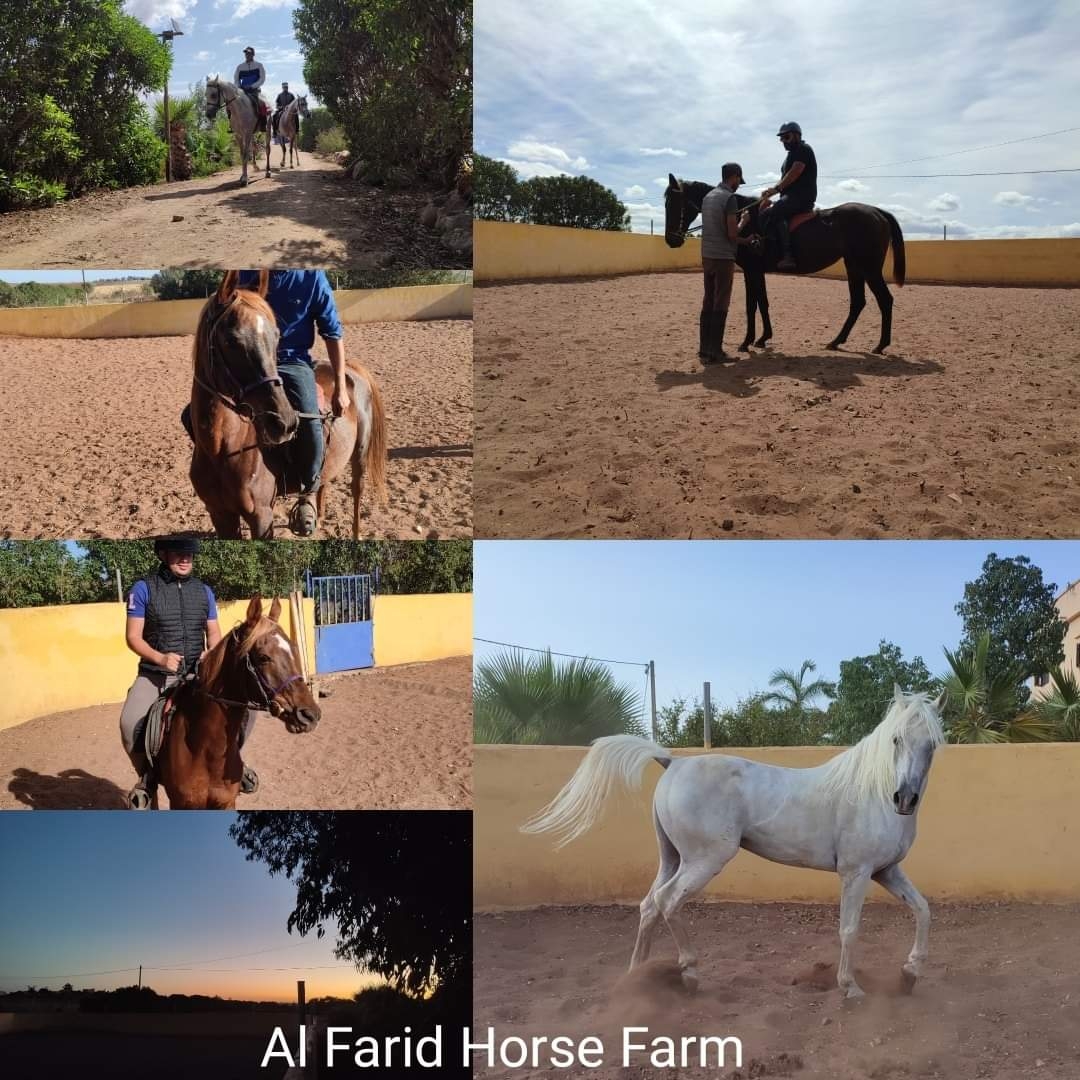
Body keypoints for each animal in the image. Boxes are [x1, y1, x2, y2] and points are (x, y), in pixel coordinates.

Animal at [155, 597, 320, 809]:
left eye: (294, 649)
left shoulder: (226, 803)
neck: (205, 750)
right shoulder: (181, 804)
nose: (310, 715)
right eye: (263, 657)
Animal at [188, 270, 388, 539]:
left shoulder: (261, 517)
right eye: (230, 341)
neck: (222, 447)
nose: (283, 422)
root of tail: (350, 368)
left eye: (276, 337)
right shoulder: (219, 514)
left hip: (360, 455)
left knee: (356, 491)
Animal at [523, 687, 945, 999]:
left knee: (649, 906)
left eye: (932, 744)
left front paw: (910, 974)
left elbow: (923, 910)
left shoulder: (886, 872)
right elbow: (850, 929)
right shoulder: (856, 874)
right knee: (668, 901)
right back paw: (690, 974)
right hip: (704, 860)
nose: (905, 799)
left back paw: (636, 979)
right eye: (896, 739)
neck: (871, 793)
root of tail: (673, 762)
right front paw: (850, 987)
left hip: (672, 858)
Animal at [665, 175, 906, 354]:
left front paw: (748, 341)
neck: (743, 217)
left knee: (885, 300)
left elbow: (753, 304)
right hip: (854, 266)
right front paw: (762, 338)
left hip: (869, 268)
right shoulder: (756, 272)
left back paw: (880, 345)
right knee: (858, 303)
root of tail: (877, 212)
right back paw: (837, 341)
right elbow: (761, 302)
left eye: (674, 203)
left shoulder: (752, 270)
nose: (671, 240)